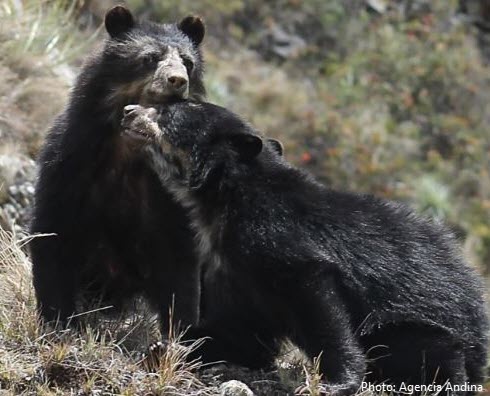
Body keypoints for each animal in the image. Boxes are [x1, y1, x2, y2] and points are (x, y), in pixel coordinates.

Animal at [30, 6, 207, 332]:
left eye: (188, 63)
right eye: (150, 57)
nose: (177, 80)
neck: (130, 146)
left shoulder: (172, 190)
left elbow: (179, 262)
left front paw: (181, 333)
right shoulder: (70, 160)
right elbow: (54, 232)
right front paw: (59, 321)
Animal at [121, 103, 486, 396]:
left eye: (166, 113)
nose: (127, 111)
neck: (223, 203)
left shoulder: (277, 238)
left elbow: (316, 298)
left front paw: (335, 383)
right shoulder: (232, 269)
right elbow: (239, 331)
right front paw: (166, 347)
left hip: (422, 330)